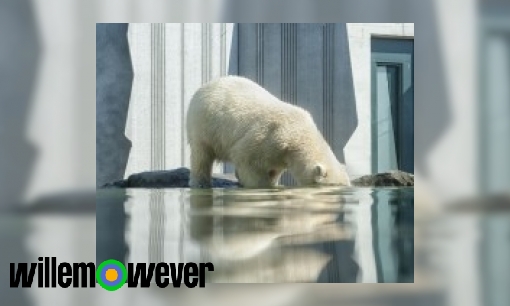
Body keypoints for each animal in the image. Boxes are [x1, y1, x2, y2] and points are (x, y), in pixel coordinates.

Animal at [187, 75, 350, 188]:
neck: (298, 135)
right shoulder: (269, 137)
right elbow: (246, 159)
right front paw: (261, 185)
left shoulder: (280, 153)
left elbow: (274, 168)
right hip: (204, 124)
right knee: (201, 154)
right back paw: (200, 183)